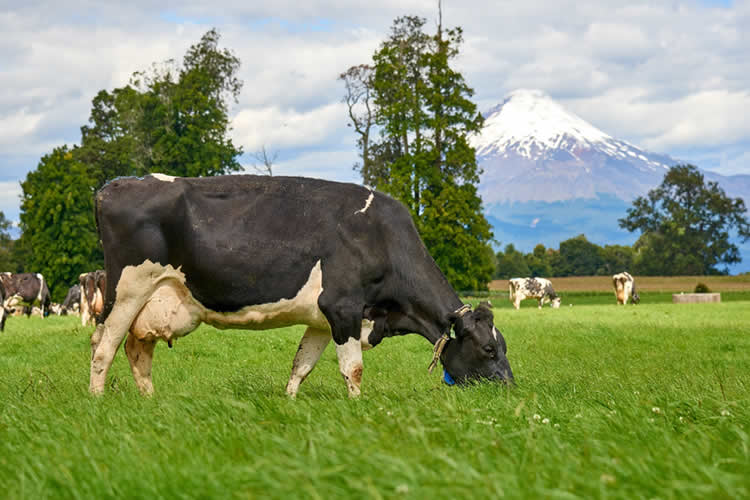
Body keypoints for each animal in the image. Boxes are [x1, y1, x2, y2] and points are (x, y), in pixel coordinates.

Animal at [88, 174, 516, 396]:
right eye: (489, 348)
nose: (510, 387)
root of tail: (114, 186)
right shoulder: (343, 308)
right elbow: (353, 370)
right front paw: (359, 409)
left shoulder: (323, 320)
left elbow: (301, 366)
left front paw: (290, 403)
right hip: (126, 291)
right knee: (103, 348)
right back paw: (97, 401)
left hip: (152, 302)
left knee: (137, 351)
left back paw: (150, 401)